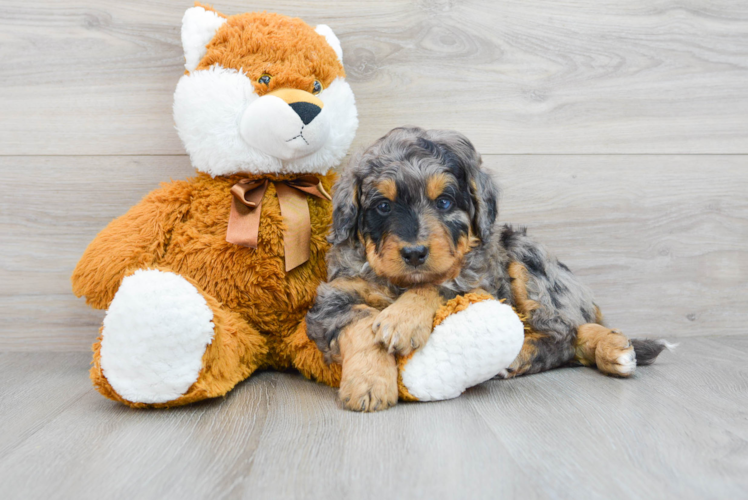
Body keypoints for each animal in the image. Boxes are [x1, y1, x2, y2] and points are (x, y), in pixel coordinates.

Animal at [306, 127, 668, 412]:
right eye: (383, 206)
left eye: (444, 202)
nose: (414, 253)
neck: (400, 283)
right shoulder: (332, 297)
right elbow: (362, 324)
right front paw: (369, 384)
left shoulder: (479, 282)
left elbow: (439, 284)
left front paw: (401, 320)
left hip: (524, 259)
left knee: (566, 332)